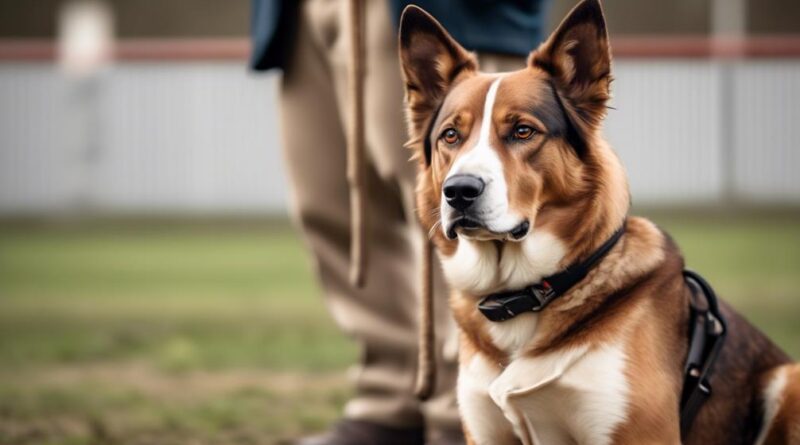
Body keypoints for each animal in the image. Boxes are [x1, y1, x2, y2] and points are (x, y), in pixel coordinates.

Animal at [396, 0, 796, 444]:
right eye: (450, 136)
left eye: (522, 131)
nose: (460, 191)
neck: (527, 296)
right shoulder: (486, 432)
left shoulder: (641, 433)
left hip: (790, 379)